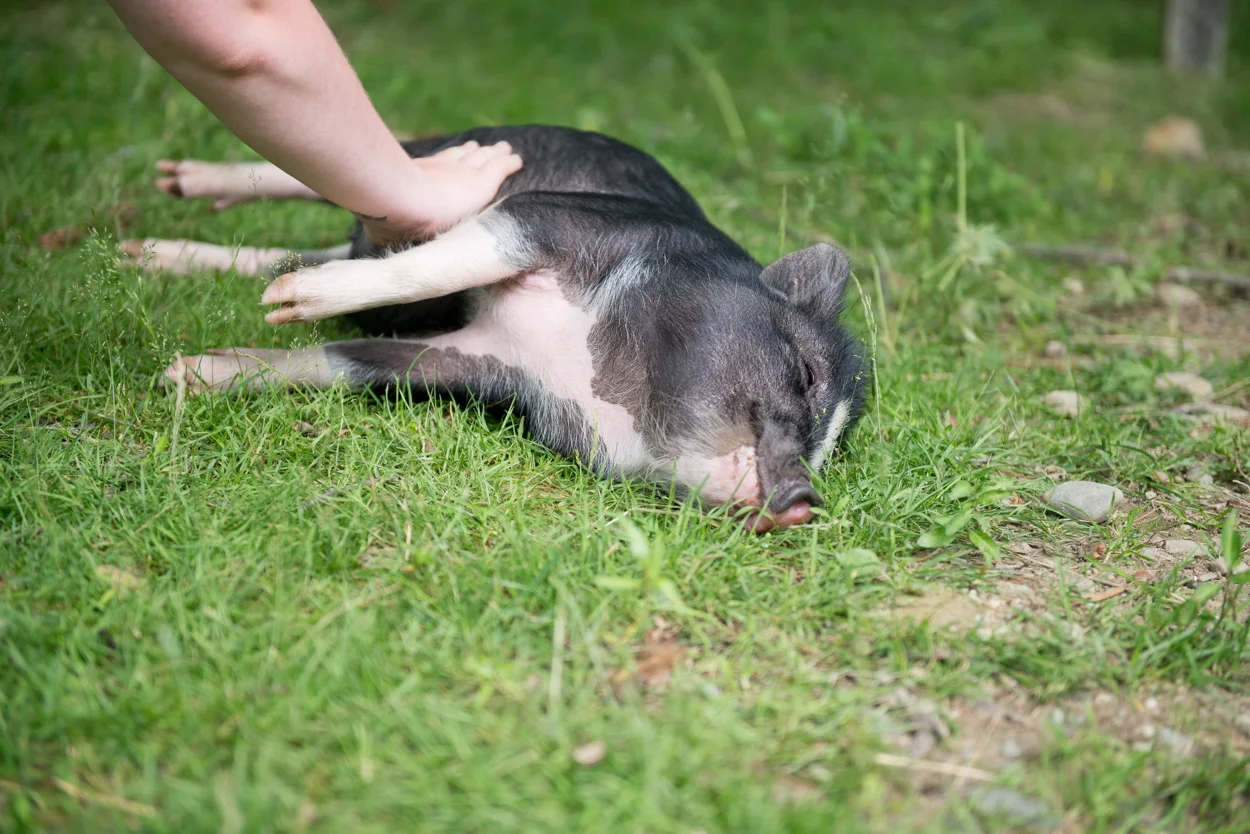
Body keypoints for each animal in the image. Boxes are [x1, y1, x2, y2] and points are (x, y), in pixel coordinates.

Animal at [124, 126, 865, 531]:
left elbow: (345, 361)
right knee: (348, 167)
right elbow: (441, 265)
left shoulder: (480, 363)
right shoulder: (548, 219)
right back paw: (179, 183)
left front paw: (185, 375)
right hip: (456, 153)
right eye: (806, 374)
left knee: (303, 243)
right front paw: (285, 306)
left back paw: (147, 255)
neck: (571, 359)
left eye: (830, 448)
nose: (805, 500)